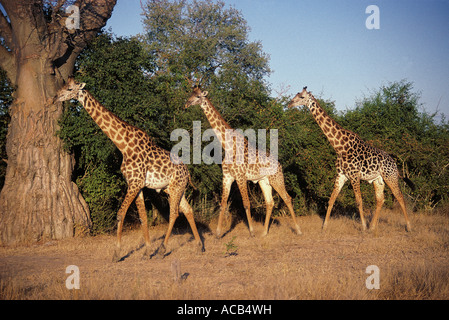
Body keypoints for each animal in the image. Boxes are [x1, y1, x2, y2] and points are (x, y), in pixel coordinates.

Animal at [56, 77, 203, 260]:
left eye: (69, 89)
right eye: (63, 86)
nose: (56, 96)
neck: (123, 145)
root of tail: (188, 172)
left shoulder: (134, 183)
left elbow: (120, 215)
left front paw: (117, 253)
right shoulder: (136, 185)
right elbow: (143, 218)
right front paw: (147, 251)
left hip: (176, 187)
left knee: (174, 213)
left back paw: (163, 249)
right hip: (173, 188)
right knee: (188, 210)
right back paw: (199, 246)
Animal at [186, 86, 300, 236]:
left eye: (198, 96)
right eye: (191, 94)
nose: (186, 103)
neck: (227, 146)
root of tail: (280, 164)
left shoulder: (240, 177)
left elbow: (246, 204)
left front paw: (251, 232)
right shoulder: (227, 176)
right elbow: (223, 204)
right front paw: (218, 233)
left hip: (277, 179)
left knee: (287, 198)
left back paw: (298, 230)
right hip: (264, 181)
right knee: (270, 202)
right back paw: (264, 232)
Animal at [288, 87, 412, 232]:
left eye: (301, 97)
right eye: (296, 95)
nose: (289, 104)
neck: (340, 147)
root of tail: (393, 162)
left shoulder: (354, 175)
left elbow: (359, 201)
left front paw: (363, 227)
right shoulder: (341, 175)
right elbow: (331, 199)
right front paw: (324, 226)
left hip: (390, 176)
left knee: (399, 197)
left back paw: (408, 227)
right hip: (378, 179)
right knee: (380, 199)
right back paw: (372, 227)